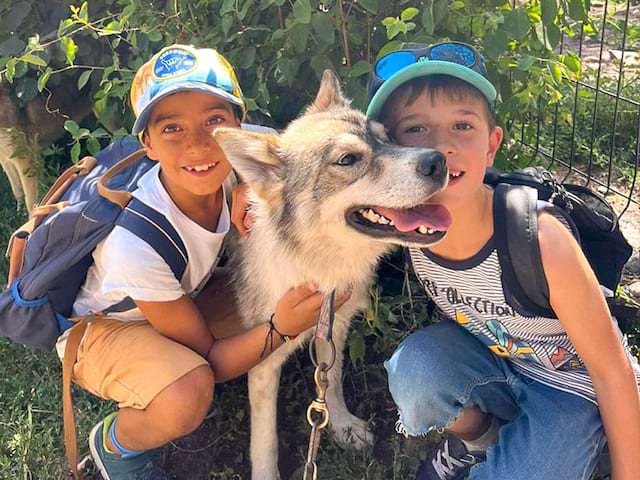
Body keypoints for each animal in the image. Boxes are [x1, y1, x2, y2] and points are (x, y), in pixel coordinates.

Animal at [215, 70, 450, 480]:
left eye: (388, 137)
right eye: (348, 159)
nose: (437, 160)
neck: (317, 270)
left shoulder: (335, 328)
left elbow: (333, 381)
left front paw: (343, 427)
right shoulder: (263, 361)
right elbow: (266, 441)